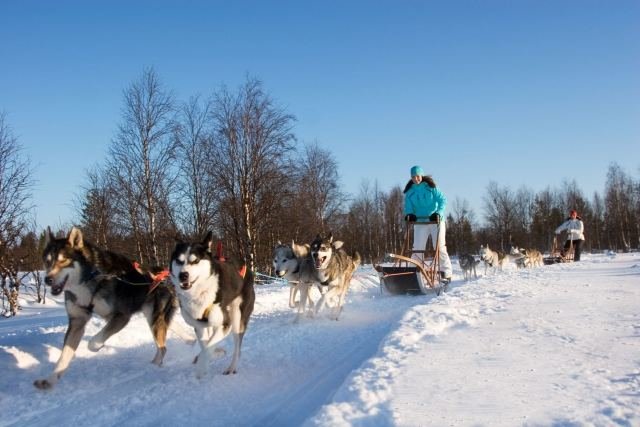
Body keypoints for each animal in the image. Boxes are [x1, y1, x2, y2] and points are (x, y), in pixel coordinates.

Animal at [34, 227, 176, 392]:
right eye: (47, 261)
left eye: (64, 260)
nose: (47, 279)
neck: (89, 278)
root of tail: (161, 275)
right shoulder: (77, 321)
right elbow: (63, 357)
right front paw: (50, 380)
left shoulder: (122, 316)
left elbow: (93, 342)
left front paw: (98, 347)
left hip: (155, 320)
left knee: (163, 348)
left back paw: (153, 366)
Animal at [170, 234, 255, 378]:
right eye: (179, 261)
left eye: (195, 261)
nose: (183, 275)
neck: (199, 293)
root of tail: (247, 270)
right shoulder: (199, 326)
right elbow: (206, 346)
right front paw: (212, 355)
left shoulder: (225, 324)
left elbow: (208, 347)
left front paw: (201, 368)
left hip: (237, 319)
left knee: (237, 348)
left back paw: (231, 367)